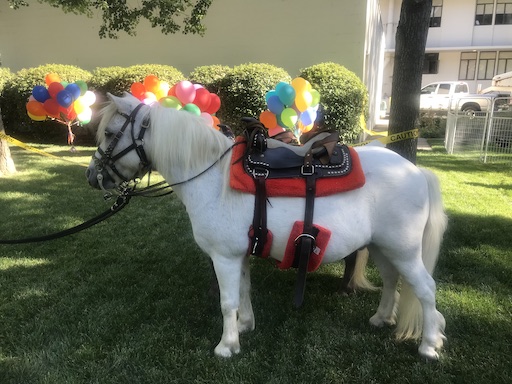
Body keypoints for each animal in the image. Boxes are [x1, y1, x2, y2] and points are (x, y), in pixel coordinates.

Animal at [86, 93, 446, 360]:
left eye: (109, 133)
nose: (93, 176)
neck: (211, 176)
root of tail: (415, 170)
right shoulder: (240, 255)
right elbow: (243, 293)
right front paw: (244, 327)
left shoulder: (224, 258)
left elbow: (227, 301)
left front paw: (225, 347)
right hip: (383, 248)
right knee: (392, 281)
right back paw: (382, 318)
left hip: (403, 250)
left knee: (426, 290)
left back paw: (429, 345)